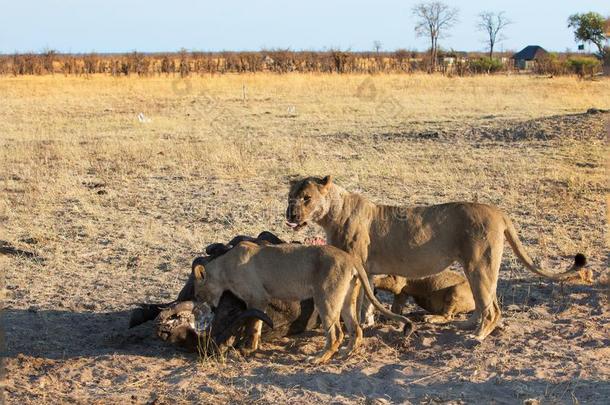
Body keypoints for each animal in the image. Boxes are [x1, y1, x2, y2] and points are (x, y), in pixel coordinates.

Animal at [192, 240, 410, 362]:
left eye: (198, 294)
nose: (207, 309)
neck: (224, 268)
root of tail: (351, 259)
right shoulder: (260, 299)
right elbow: (258, 324)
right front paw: (252, 347)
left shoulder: (257, 297)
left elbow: (253, 325)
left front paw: (249, 348)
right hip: (347, 299)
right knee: (356, 329)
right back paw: (346, 354)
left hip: (325, 298)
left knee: (336, 334)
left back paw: (318, 359)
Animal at [284, 175, 584, 340]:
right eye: (289, 197)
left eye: (307, 198)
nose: (290, 214)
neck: (331, 214)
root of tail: (498, 211)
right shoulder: (367, 270)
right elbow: (368, 301)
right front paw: (369, 322)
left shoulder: (356, 266)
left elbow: (358, 300)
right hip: (476, 269)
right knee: (483, 305)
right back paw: (468, 325)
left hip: (480, 265)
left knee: (492, 308)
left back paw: (478, 336)